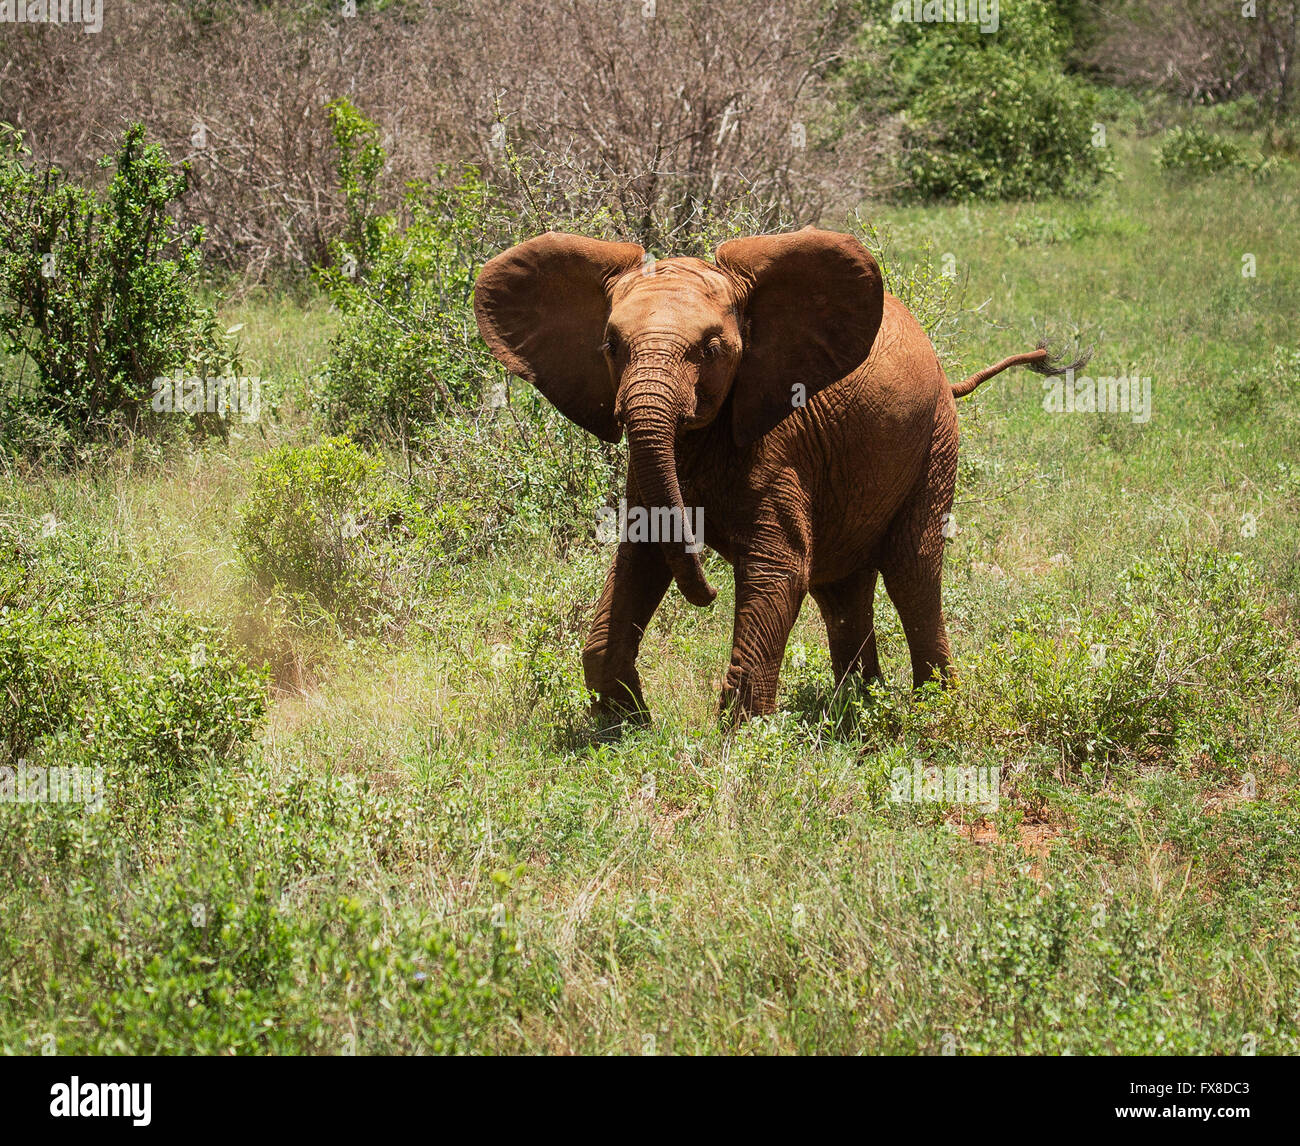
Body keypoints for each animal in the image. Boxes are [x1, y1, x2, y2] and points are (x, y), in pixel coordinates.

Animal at [474, 226, 1078, 723]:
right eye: (610, 346)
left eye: (711, 349)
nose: (708, 592)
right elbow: (639, 558)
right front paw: (627, 727)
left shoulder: (783, 440)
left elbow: (778, 569)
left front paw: (740, 747)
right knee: (841, 587)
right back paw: (860, 708)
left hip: (934, 439)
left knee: (912, 568)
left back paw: (933, 709)